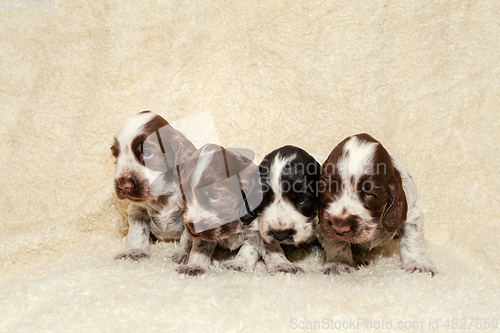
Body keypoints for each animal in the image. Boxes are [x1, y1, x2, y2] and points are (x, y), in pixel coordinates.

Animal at [112, 111, 196, 262]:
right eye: (116, 156)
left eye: (147, 153)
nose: (123, 185)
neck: (163, 195)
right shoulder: (138, 210)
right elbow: (138, 231)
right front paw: (135, 251)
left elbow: (187, 237)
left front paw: (183, 254)